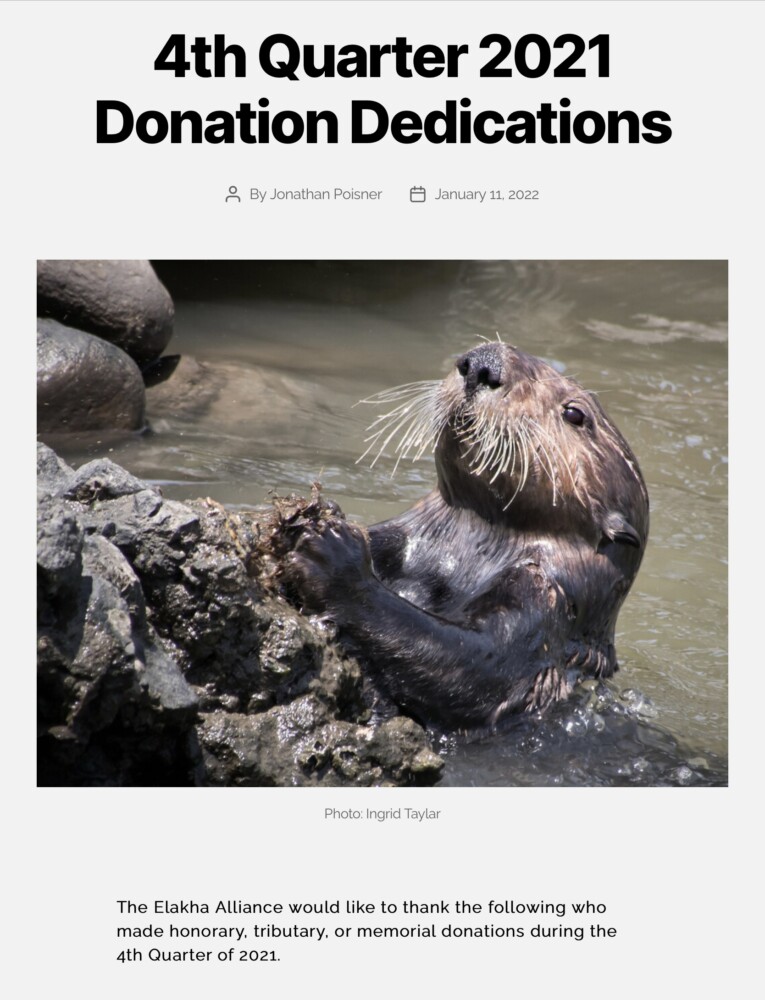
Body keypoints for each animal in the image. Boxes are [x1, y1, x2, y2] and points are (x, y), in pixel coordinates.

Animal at [284, 342, 648, 728]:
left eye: (575, 414)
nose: (481, 365)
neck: (464, 559)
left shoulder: (545, 604)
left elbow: (474, 669)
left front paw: (334, 556)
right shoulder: (403, 536)